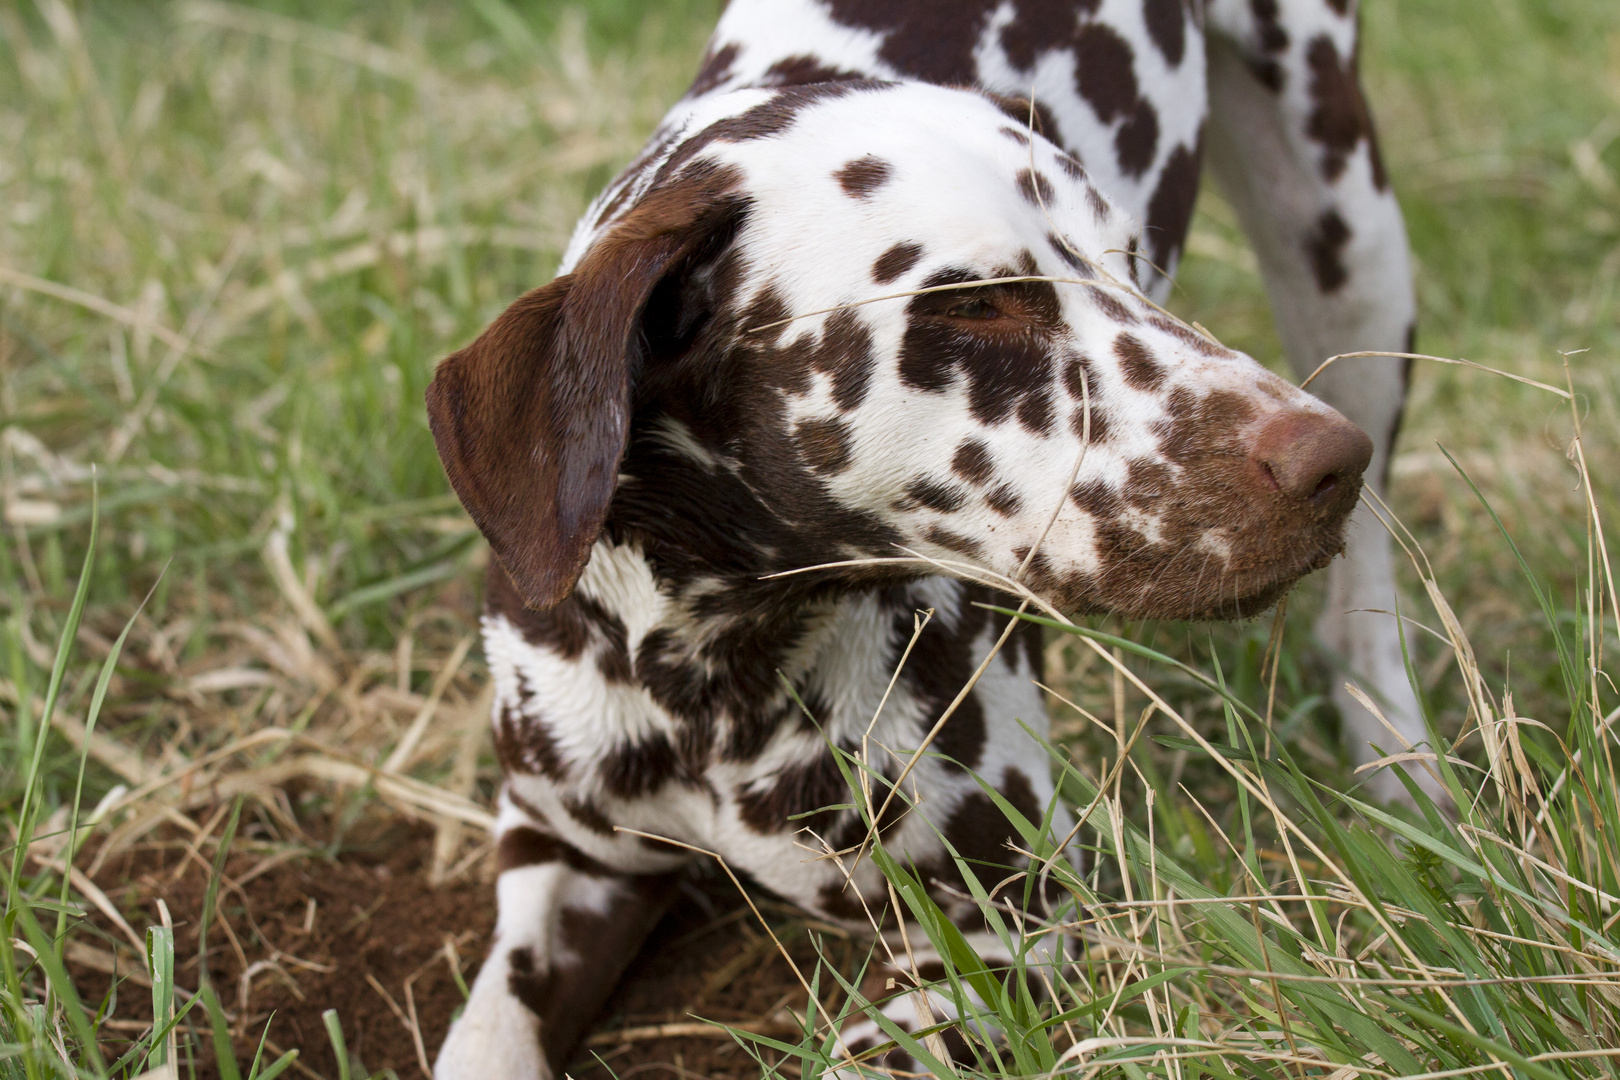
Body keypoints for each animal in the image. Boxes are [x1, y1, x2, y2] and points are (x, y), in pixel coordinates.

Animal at [427, 4, 1419, 1075]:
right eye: (976, 300)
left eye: (1129, 261)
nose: (1329, 462)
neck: (711, 687)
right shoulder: (561, 856)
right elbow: (486, 1037)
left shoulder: (1007, 927)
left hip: (1348, 243)